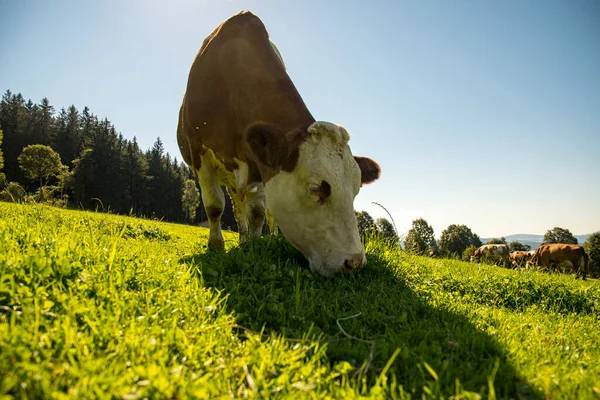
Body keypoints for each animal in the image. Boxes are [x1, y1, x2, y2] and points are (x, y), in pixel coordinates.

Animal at [176, 10, 380, 276]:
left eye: (356, 190)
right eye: (315, 188)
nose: (354, 262)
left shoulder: (260, 163)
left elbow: (258, 212)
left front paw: (254, 245)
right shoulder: (198, 150)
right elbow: (214, 205)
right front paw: (216, 245)